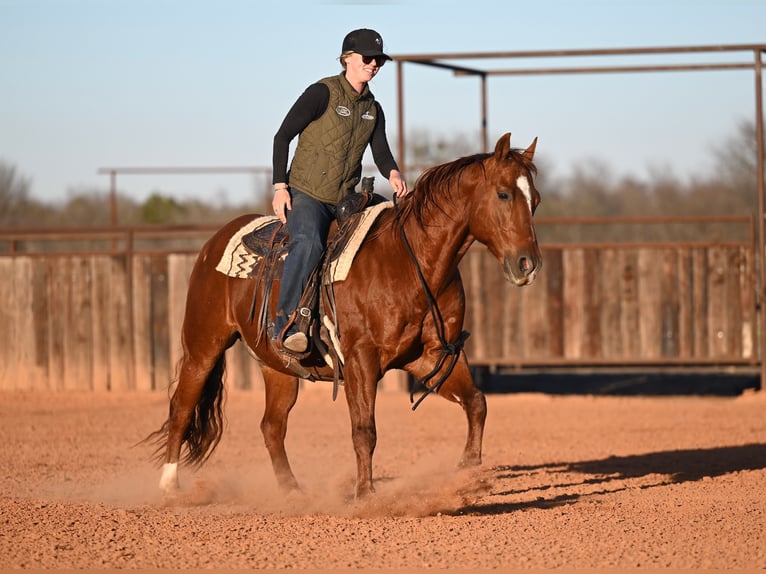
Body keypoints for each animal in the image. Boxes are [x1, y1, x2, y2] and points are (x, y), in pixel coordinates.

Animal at [146, 132, 542, 500]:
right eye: (504, 194)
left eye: (535, 200)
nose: (528, 264)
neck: (409, 261)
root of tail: (214, 242)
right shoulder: (359, 360)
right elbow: (364, 429)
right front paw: (365, 494)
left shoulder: (431, 356)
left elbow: (477, 402)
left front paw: (468, 472)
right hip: (203, 345)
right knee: (181, 408)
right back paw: (168, 486)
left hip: (277, 366)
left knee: (271, 426)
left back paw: (292, 491)